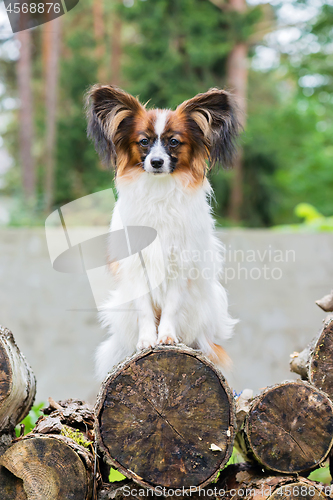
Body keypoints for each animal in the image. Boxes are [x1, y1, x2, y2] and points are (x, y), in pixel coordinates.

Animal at [86, 85, 239, 378]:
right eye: (144, 142)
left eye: (174, 142)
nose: (156, 162)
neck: (159, 194)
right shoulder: (137, 266)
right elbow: (145, 309)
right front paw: (147, 340)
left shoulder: (180, 264)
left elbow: (171, 307)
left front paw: (166, 338)